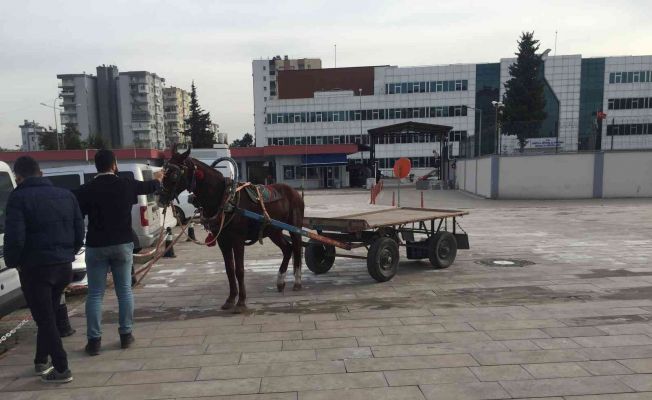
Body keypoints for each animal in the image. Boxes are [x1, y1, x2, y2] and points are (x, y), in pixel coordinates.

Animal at [157, 145, 304, 314]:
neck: (225, 198)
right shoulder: (223, 240)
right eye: (163, 171)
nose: (160, 198)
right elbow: (229, 269)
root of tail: (294, 191)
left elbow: (239, 269)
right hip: (273, 230)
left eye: (174, 174)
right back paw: (280, 281)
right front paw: (230, 299)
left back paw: (297, 282)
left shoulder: (238, 240)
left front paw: (241, 301)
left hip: (295, 228)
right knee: (287, 249)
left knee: (297, 249)